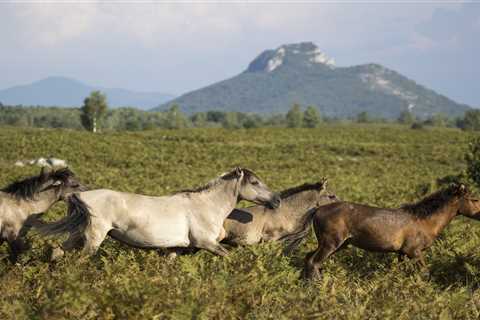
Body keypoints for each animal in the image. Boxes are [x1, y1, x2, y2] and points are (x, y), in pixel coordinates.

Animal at [36, 169, 282, 256]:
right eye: (254, 182)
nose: (277, 200)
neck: (206, 206)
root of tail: (81, 196)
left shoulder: (177, 249)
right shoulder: (207, 243)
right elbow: (228, 256)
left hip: (77, 235)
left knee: (58, 250)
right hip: (93, 238)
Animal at [288, 182, 480, 280]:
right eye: (474, 199)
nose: (479, 213)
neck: (425, 220)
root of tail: (317, 209)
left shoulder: (402, 253)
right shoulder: (414, 252)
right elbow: (425, 273)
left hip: (336, 244)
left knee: (308, 258)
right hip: (331, 243)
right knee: (314, 262)